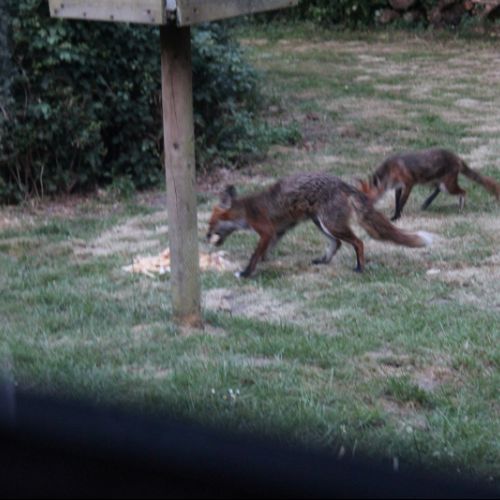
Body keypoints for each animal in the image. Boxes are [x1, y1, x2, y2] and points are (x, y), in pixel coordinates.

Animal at [206, 172, 433, 278]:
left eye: (211, 223)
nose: (205, 237)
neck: (247, 211)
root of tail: (343, 184)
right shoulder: (278, 232)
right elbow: (264, 252)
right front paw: (263, 262)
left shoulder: (267, 231)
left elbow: (254, 255)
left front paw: (246, 273)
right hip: (321, 223)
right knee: (337, 244)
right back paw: (323, 260)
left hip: (331, 224)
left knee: (358, 242)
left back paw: (360, 267)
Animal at [356, 148, 500, 221]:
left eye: (365, 199)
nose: (361, 213)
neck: (391, 170)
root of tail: (457, 158)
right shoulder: (398, 187)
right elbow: (397, 202)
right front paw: (395, 215)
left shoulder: (408, 184)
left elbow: (402, 202)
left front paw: (396, 217)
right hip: (440, 183)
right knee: (438, 190)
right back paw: (426, 203)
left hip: (448, 186)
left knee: (464, 191)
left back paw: (460, 208)